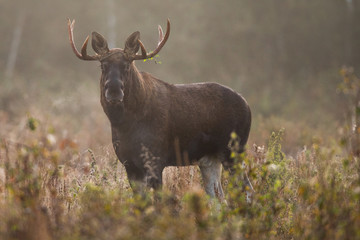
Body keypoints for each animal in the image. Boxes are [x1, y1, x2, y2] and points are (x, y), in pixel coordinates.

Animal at [69, 18, 252, 200]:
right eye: (103, 65)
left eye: (127, 65)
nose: (114, 90)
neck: (124, 124)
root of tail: (247, 104)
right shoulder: (129, 164)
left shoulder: (155, 161)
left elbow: (159, 201)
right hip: (210, 158)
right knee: (218, 197)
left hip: (234, 150)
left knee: (247, 189)